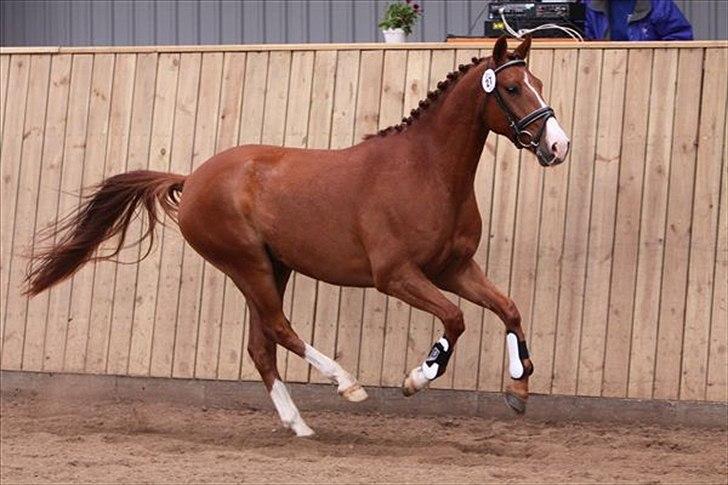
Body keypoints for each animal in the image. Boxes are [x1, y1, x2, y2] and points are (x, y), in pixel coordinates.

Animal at [25, 36, 570, 437]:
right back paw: (347, 385)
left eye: (540, 82)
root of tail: (193, 178)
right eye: (514, 88)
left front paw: (518, 391)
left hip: (273, 266)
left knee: (261, 344)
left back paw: (299, 424)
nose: (558, 146)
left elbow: (508, 308)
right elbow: (455, 319)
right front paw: (418, 378)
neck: (427, 171)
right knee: (279, 330)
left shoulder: (453, 268)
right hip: (247, 264)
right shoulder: (396, 276)